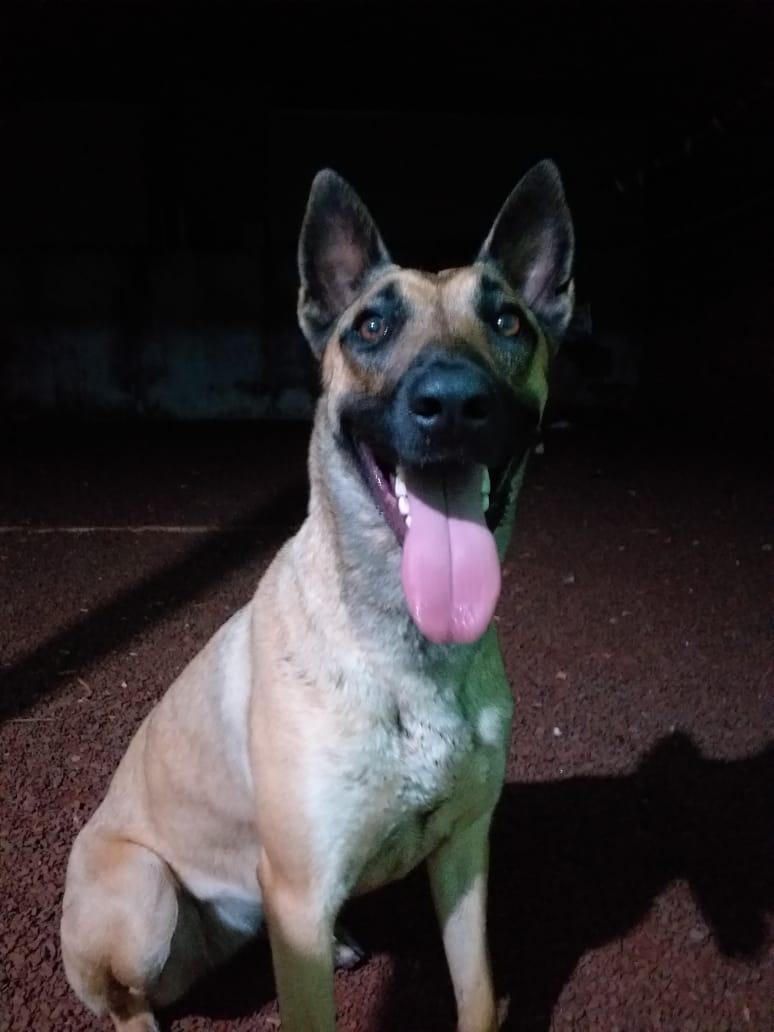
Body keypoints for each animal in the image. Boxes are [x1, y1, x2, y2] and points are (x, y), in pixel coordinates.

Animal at [60, 160, 575, 1031]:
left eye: (508, 321)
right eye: (370, 327)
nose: (453, 403)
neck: (408, 652)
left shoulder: (465, 851)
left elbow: (475, 991)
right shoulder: (299, 897)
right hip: (146, 899)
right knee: (128, 1004)